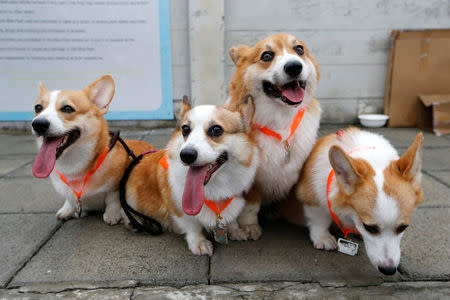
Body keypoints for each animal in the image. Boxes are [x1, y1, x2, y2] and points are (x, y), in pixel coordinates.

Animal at [31, 75, 155, 224]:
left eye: (67, 108)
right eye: (38, 107)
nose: (38, 124)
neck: (75, 165)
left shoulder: (116, 185)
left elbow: (112, 199)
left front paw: (112, 215)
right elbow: (70, 199)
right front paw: (67, 210)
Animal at [122, 96, 260, 255]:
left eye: (216, 130)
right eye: (185, 129)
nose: (186, 155)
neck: (213, 188)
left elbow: (230, 220)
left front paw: (235, 230)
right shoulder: (179, 208)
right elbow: (192, 226)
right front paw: (199, 243)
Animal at [229, 33, 320, 239]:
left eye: (299, 49)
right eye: (267, 55)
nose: (294, 67)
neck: (280, 121)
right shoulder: (251, 183)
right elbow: (251, 206)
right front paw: (250, 227)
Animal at [298, 127, 424, 276]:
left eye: (402, 227)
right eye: (369, 228)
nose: (389, 270)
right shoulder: (312, 197)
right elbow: (319, 218)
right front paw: (323, 238)